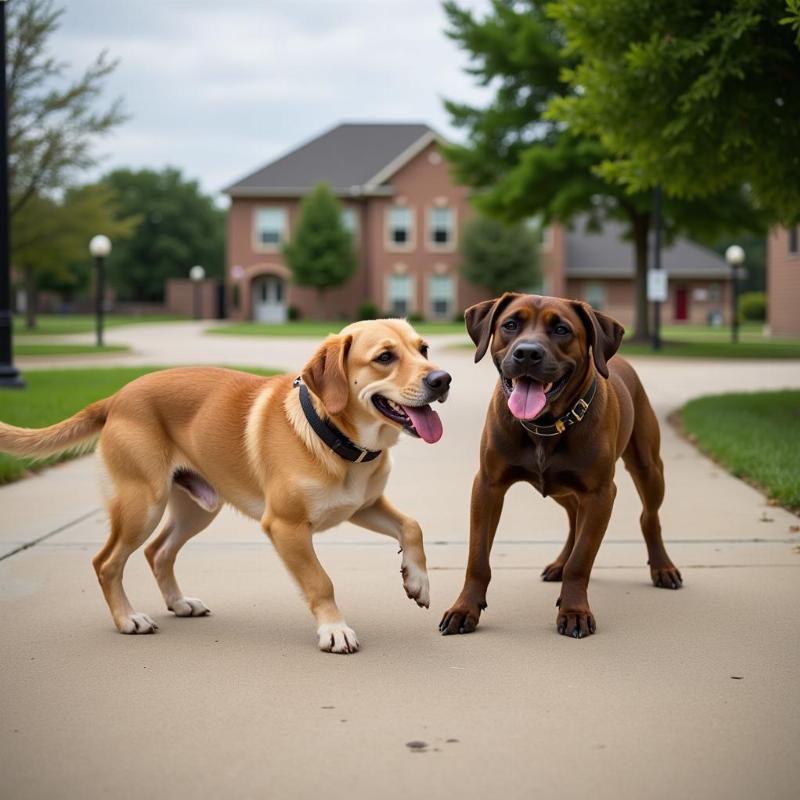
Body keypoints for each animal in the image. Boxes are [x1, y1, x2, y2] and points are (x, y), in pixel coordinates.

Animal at [0, 322, 450, 652]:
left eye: (424, 349)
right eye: (385, 357)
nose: (443, 379)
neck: (334, 437)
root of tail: (116, 396)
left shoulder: (363, 505)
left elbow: (412, 526)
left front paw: (417, 580)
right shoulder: (286, 527)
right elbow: (321, 581)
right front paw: (334, 629)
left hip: (197, 509)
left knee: (158, 552)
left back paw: (178, 603)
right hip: (143, 504)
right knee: (107, 562)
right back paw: (127, 619)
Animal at [438, 294, 680, 636]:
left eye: (562, 329)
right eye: (510, 324)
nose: (528, 353)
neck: (545, 424)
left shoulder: (600, 493)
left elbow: (582, 560)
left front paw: (574, 610)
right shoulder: (487, 486)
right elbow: (478, 559)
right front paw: (465, 608)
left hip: (648, 468)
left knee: (649, 517)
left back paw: (663, 567)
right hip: (560, 490)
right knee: (573, 519)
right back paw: (559, 563)